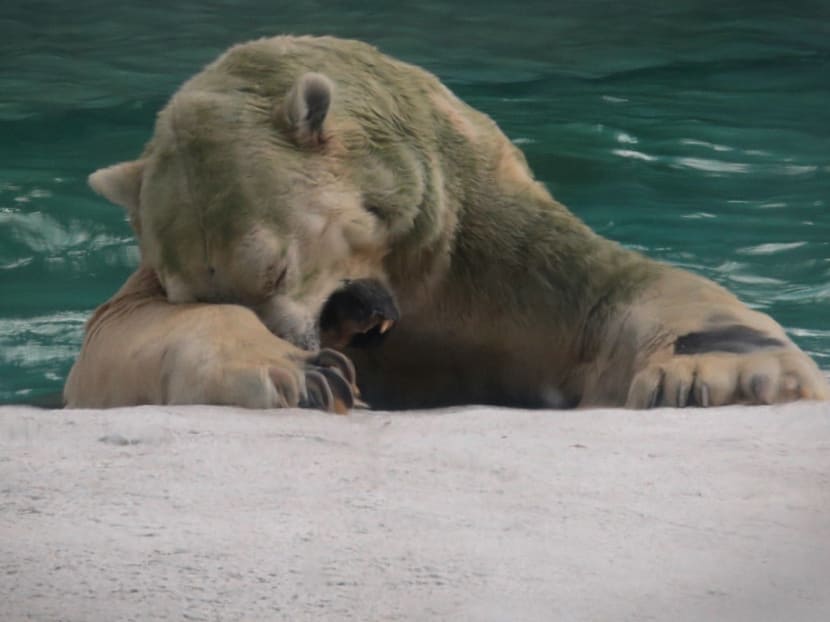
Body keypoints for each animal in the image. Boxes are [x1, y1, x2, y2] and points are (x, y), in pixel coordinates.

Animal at [63, 36, 824, 412]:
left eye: (276, 268)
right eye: (192, 289)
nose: (298, 337)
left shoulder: (480, 245)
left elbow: (607, 291)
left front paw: (724, 372)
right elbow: (117, 336)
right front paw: (308, 372)